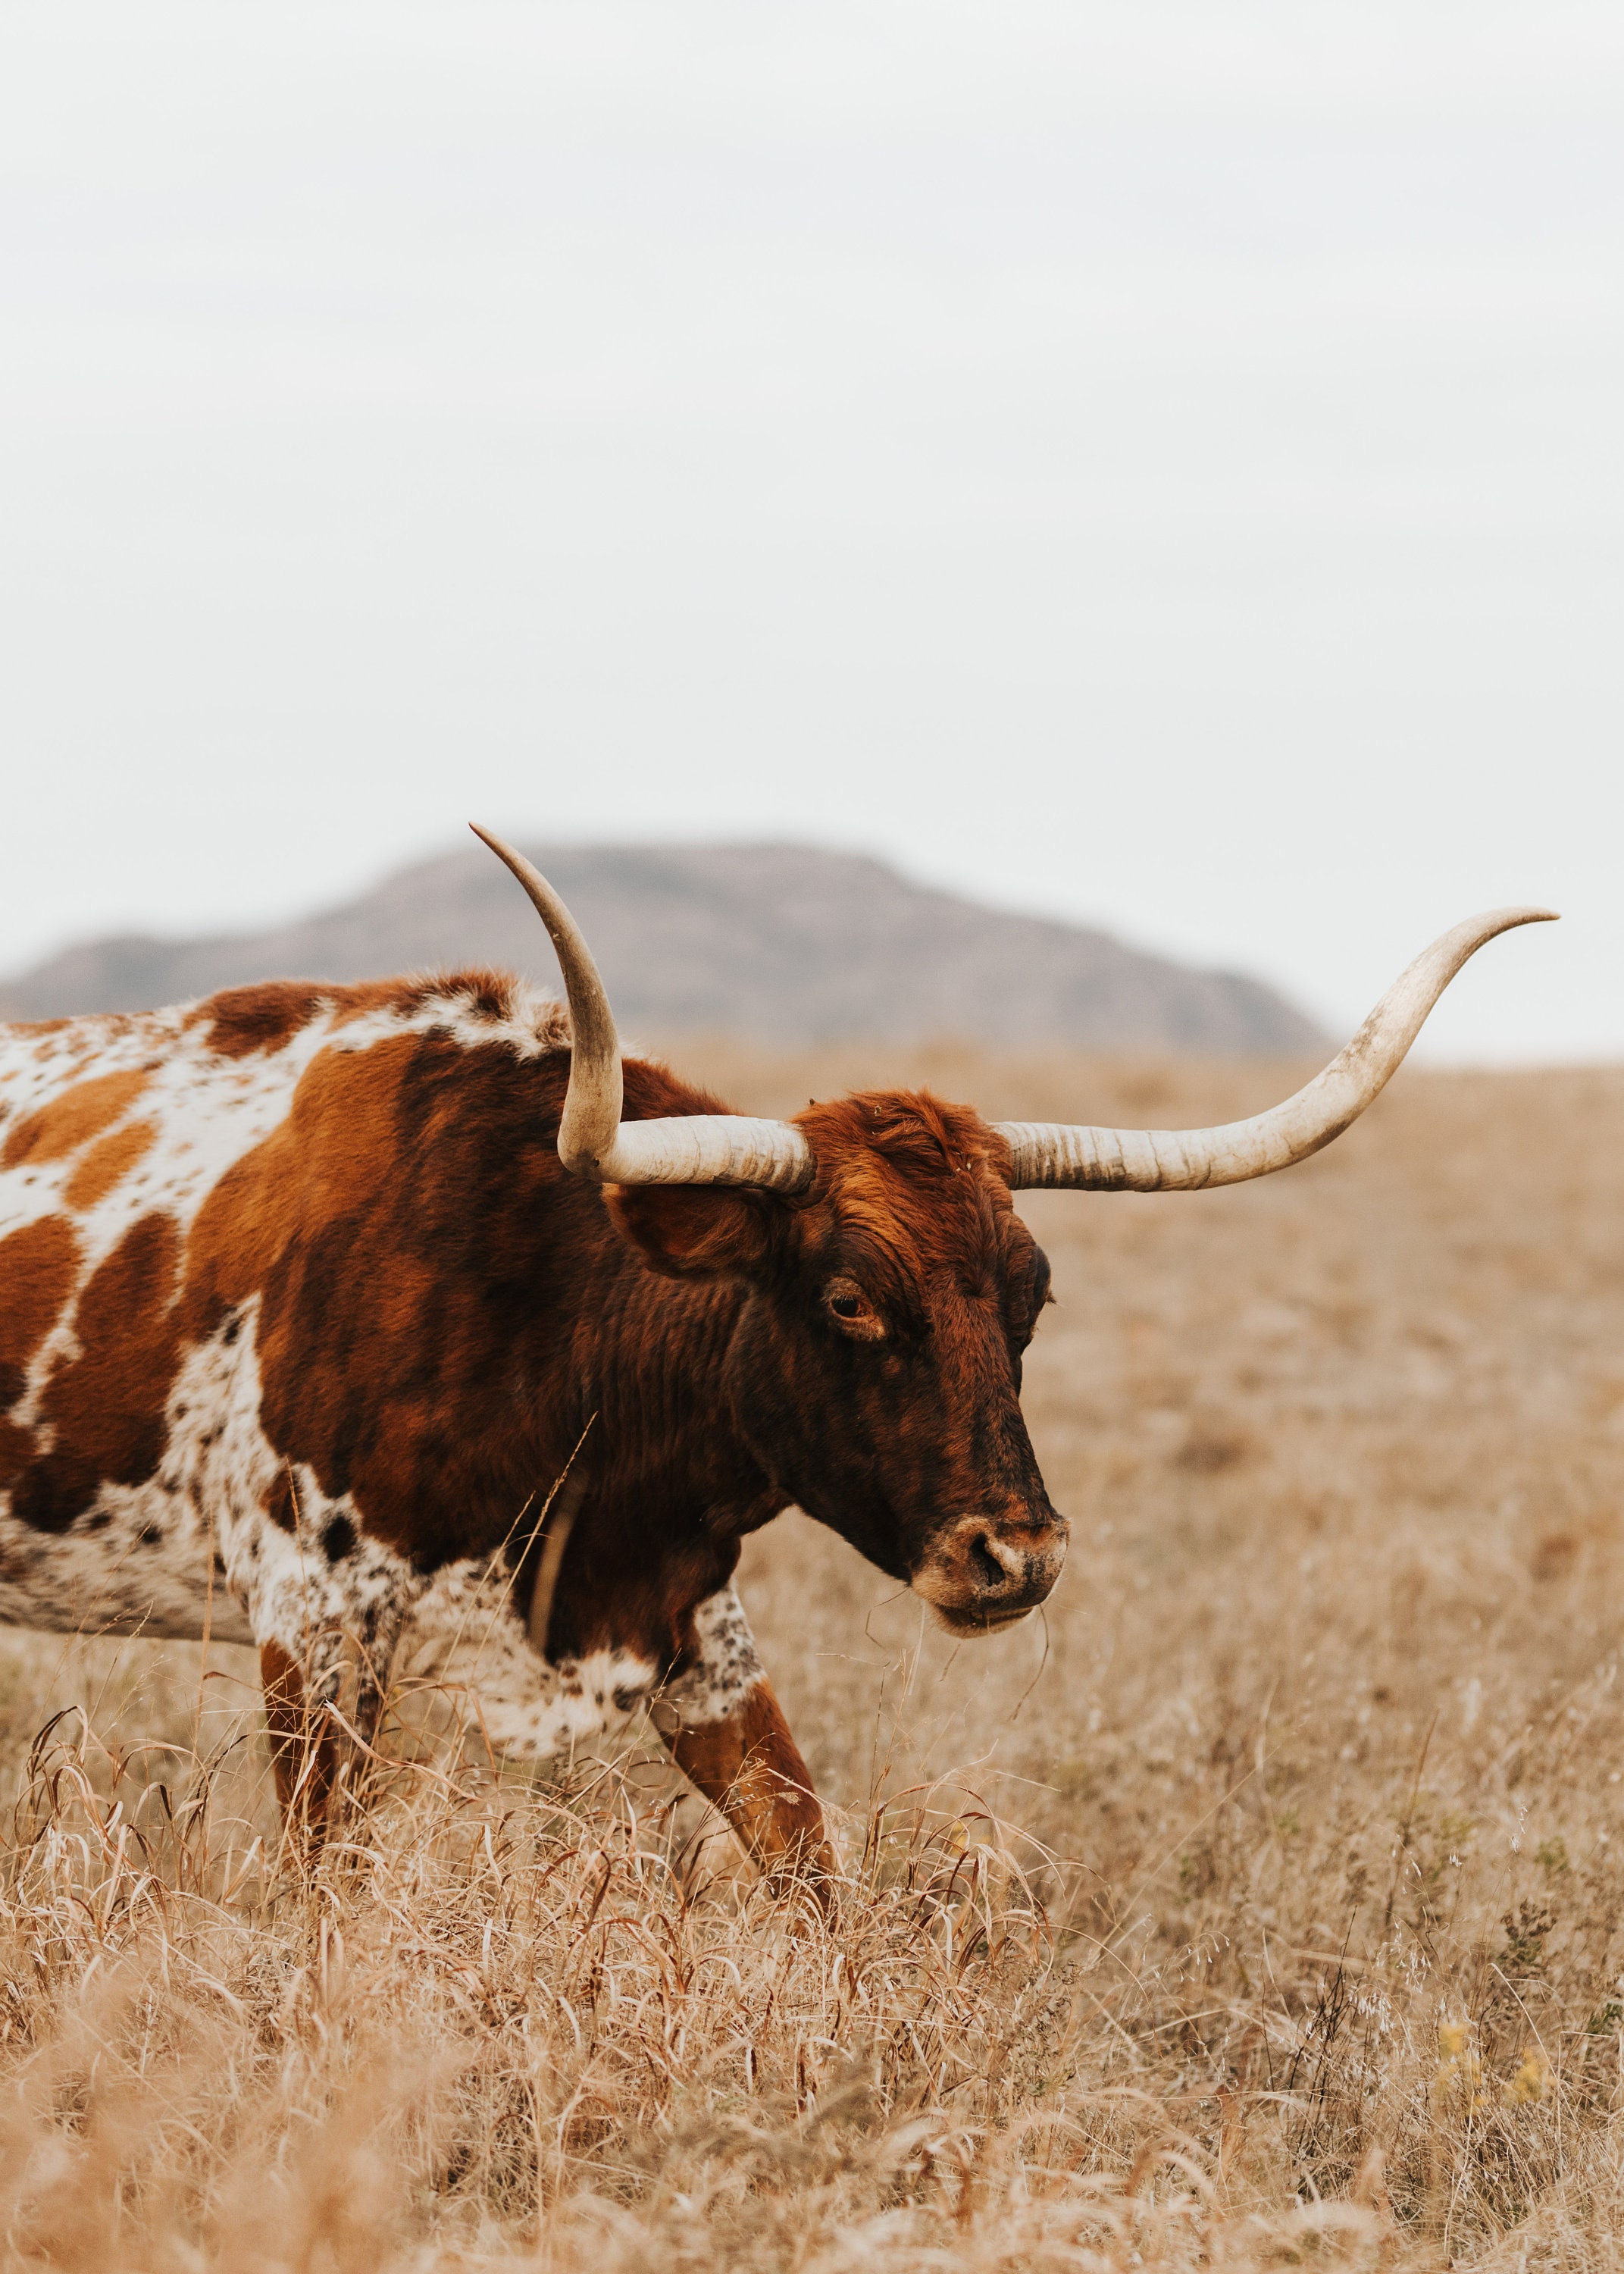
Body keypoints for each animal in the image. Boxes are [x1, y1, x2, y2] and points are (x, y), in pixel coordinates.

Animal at [0, 831, 1552, 1892]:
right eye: (850, 1300)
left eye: (1034, 1295)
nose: (1017, 1557)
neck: (540, 1300)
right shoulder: (314, 1627)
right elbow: (330, 1892)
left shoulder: (689, 1622)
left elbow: (805, 1855)